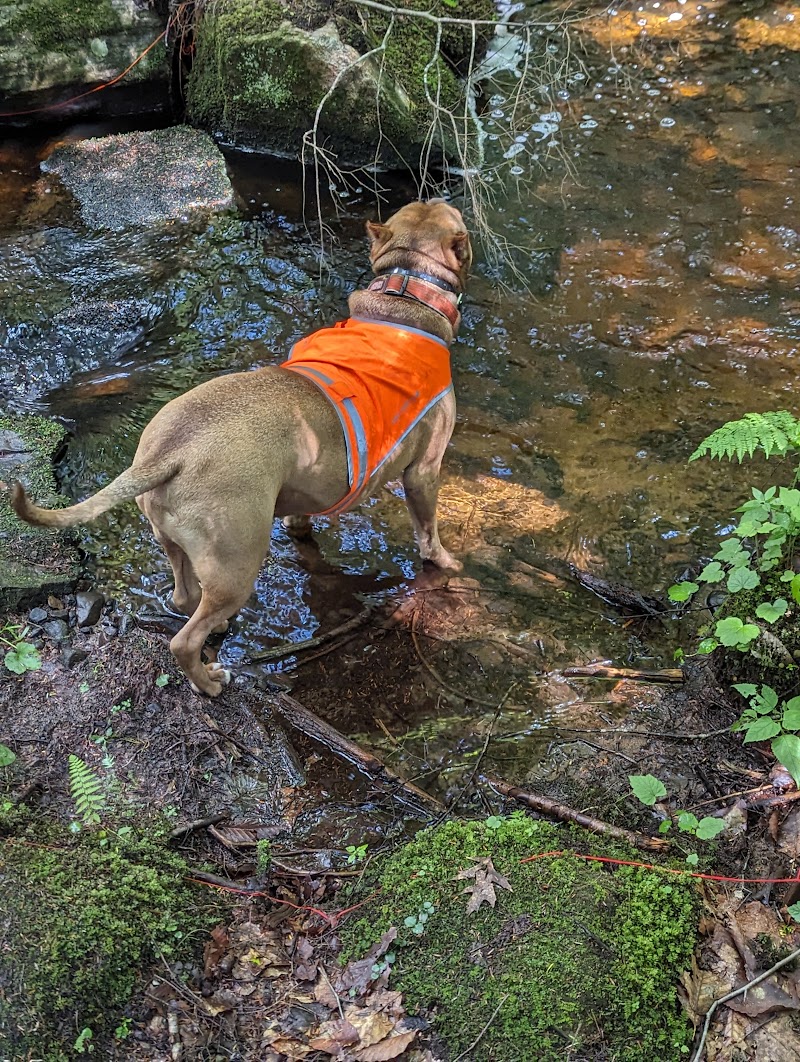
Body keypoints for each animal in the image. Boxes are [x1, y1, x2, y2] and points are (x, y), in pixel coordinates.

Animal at [10, 200, 467, 696]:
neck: (407, 289)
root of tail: (170, 452)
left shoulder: (304, 495)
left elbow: (301, 520)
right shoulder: (424, 471)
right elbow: (428, 532)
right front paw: (447, 563)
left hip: (176, 541)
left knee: (184, 596)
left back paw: (215, 630)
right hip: (239, 563)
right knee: (185, 640)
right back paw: (209, 682)